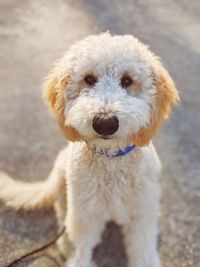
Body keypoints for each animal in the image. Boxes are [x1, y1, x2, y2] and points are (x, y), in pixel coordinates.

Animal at [0, 33, 178, 267]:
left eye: (127, 80)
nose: (105, 123)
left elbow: (143, 251)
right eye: (89, 79)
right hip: (62, 181)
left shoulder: (141, 215)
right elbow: (81, 249)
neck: (111, 162)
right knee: (63, 217)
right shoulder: (85, 216)